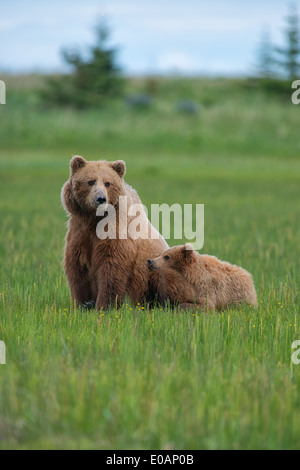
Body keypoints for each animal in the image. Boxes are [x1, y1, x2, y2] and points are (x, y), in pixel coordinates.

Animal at [61, 156, 169, 310]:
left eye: (108, 183)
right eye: (90, 181)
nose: (101, 198)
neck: (94, 220)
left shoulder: (117, 231)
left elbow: (112, 266)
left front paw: (104, 305)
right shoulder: (79, 231)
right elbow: (78, 267)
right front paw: (83, 303)